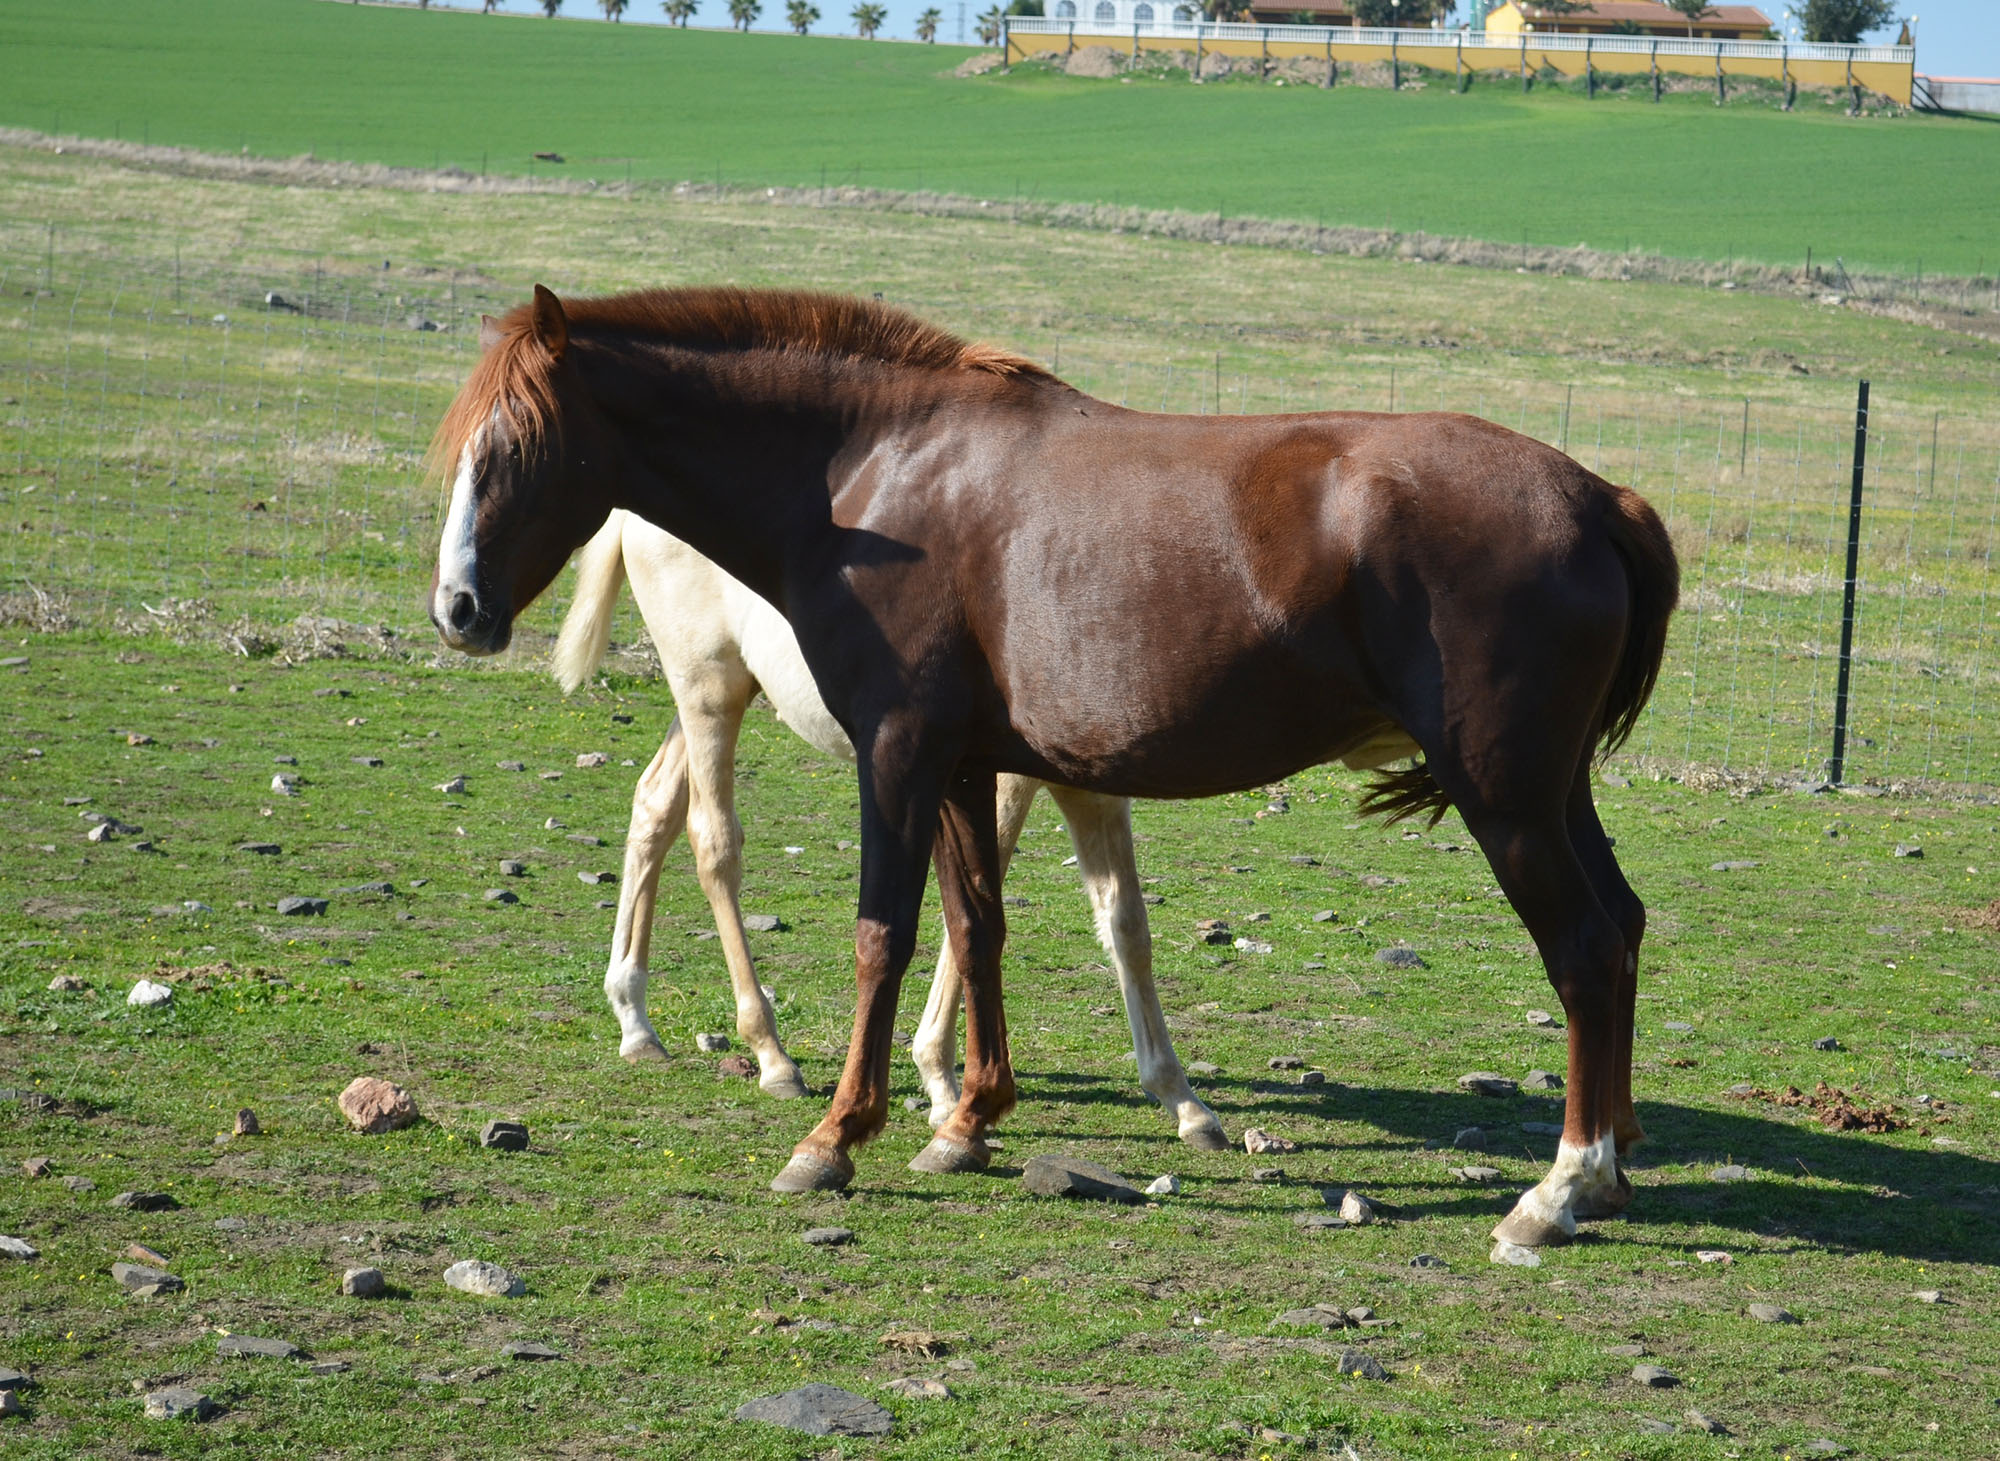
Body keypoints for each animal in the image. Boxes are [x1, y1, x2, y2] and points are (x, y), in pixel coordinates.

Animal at [556, 512, 1224, 1152]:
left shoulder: (1094, 788)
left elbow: (1126, 924)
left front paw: (1184, 1103)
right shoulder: (998, 776)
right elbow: (976, 908)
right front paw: (941, 1081)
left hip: (719, 694)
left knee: (654, 805)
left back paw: (635, 1020)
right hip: (707, 689)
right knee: (713, 841)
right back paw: (771, 1054)